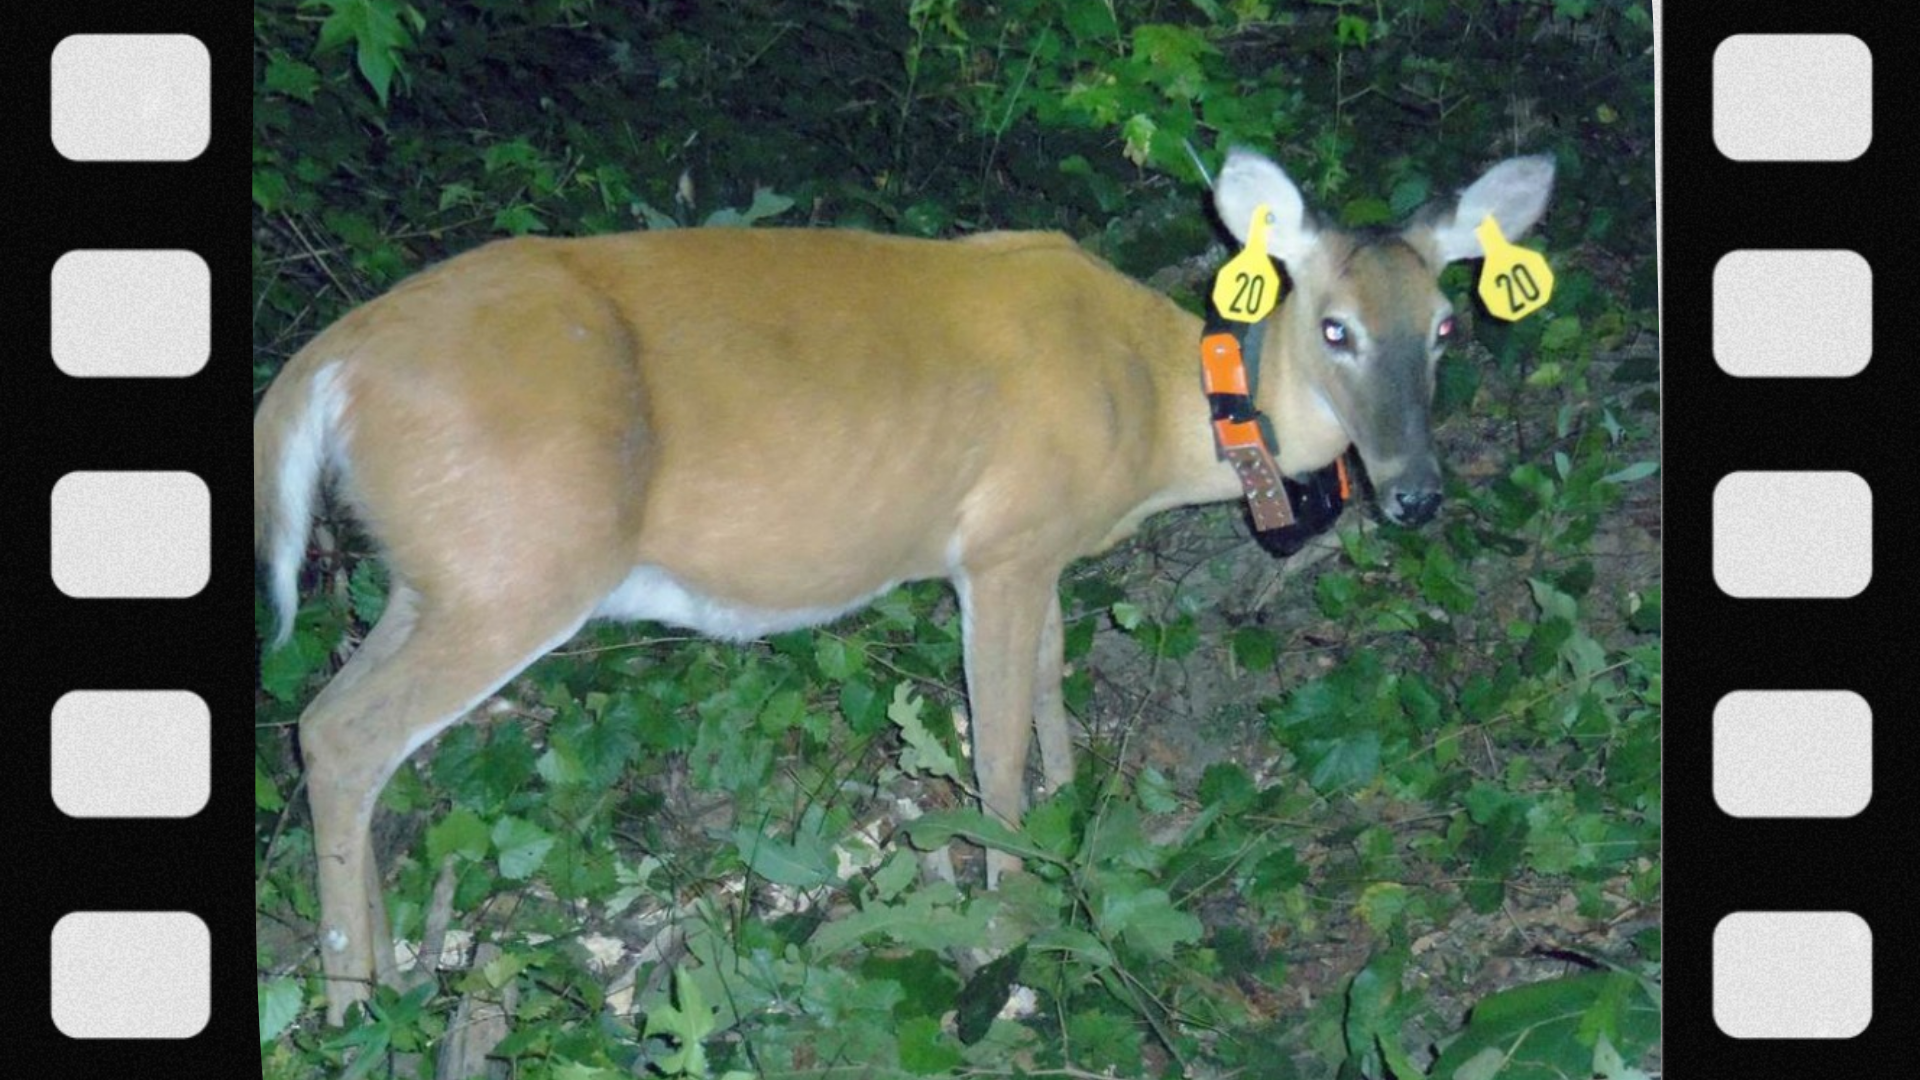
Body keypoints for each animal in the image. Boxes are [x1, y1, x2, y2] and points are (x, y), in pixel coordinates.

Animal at [255, 147, 1554, 1024]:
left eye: (1446, 327)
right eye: (1333, 328)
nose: (1415, 495)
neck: (1158, 414)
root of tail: (323, 369)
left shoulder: (1042, 553)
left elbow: (1054, 694)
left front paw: (1082, 847)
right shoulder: (1004, 544)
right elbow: (995, 755)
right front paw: (1010, 936)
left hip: (436, 570)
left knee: (334, 726)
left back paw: (385, 974)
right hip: (518, 560)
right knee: (346, 734)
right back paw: (351, 1005)